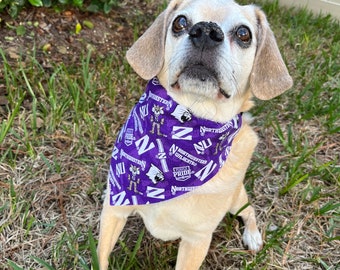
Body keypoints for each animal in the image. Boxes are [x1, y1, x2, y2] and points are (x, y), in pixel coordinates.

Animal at [97, 1, 292, 268]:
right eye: (179, 22)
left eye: (244, 34)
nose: (206, 32)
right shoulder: (114, 210)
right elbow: (100, 257)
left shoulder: (197, 241)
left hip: (237, 200)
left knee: (250, 210)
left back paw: (252, 236)